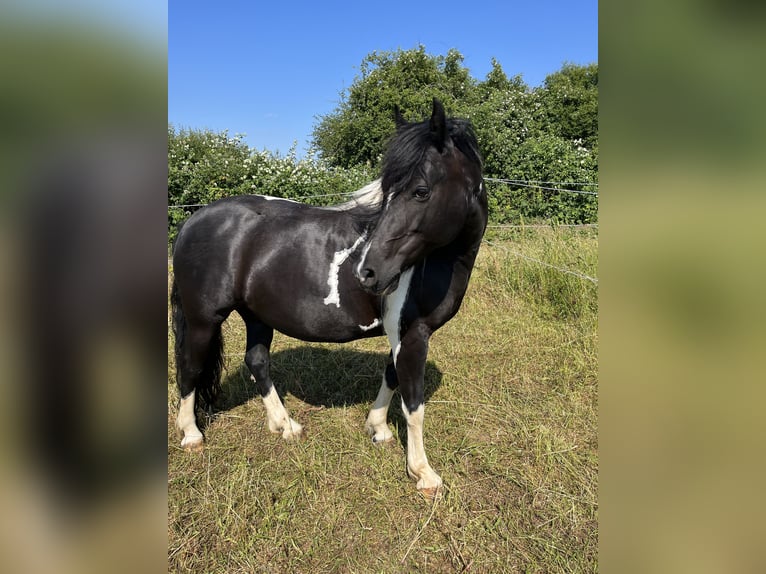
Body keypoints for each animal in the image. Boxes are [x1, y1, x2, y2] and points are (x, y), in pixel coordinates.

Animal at [171, 97, 488, 498]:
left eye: (420, 191)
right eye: (390, 191)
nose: (367, 271)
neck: (434, 262)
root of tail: (192, 221)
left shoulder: (402, 334)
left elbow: (391, 376)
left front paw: (377, 429)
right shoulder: (414, 334)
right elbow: (413, 403)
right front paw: (423, 473)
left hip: (256, 315)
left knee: (257, 361)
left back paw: (285, 425)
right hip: (203, 319)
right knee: (189, 367)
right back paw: (192, 435)